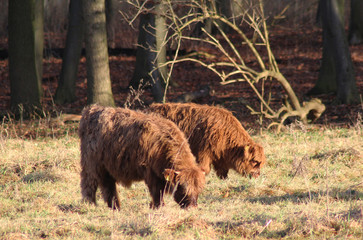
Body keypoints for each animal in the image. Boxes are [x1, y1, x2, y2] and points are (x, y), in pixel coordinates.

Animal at [78, 104, 206, 209]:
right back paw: (90, 204)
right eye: (183, 188)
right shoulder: (150, 172)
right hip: (92, 164)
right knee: (89, 182)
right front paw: (158, 207)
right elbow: (157, 193)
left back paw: (115, 207)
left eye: (199, 190)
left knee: (108, 186)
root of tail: (90, 110)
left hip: (107, 167)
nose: (192, 207)